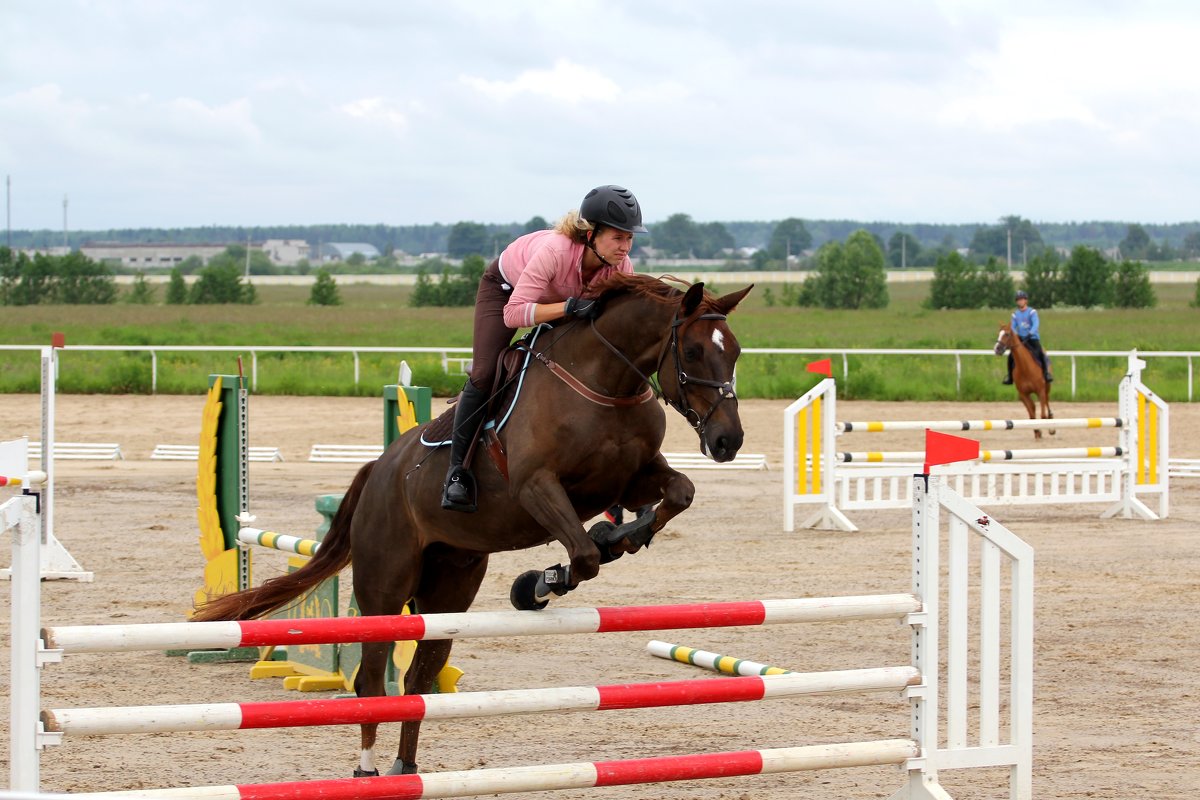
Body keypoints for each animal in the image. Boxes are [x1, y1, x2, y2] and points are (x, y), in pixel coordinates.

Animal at [189, 273, 748, 777]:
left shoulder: (629, 479)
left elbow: (678, 493)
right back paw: (368, 771)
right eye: (692, 352)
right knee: (371, 681)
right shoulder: (536, 487)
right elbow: (584, 556)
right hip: (384, 590)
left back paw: (406, 769)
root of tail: (379, 469)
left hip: (448, 593)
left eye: (737, 352)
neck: (603, 382)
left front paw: (625, 535)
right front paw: (540, 583)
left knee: (416, 680)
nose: (729, 441)